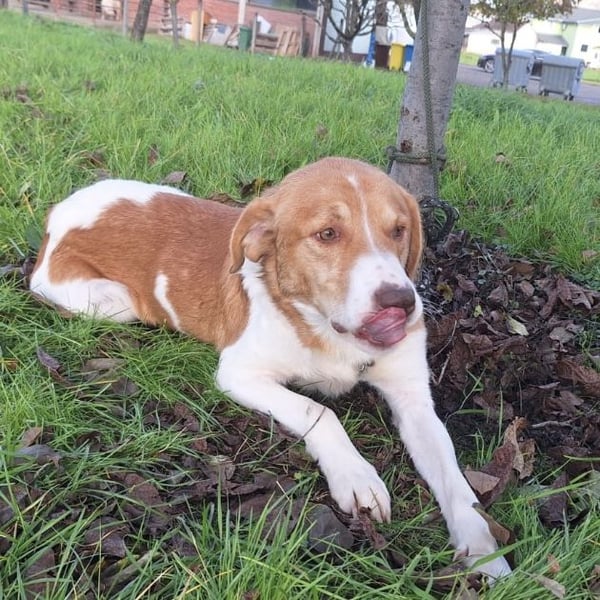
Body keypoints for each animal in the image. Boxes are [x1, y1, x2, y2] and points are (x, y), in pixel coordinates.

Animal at [30, 157, 511, 579]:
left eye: (399, 231)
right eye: (327, 234)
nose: (402, 304)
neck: (328, 332)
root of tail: (60, 210)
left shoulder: (413, 401)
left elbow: (455, 480)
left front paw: (484, 550)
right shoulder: (239, 374)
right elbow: (321, 411)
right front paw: (356, 475)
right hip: (116, 304)